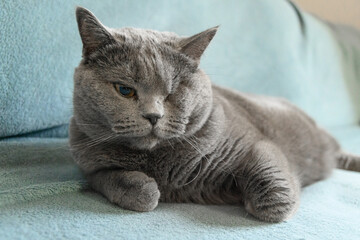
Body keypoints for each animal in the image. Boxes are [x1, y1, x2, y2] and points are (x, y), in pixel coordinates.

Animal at [69, 6, 358, 223]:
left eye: (173, 92)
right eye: (125, 90)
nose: (153, 116)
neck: (157, 161)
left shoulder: (255, 144)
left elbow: (272, 193)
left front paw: (253, 200)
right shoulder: (89, 165)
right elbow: (116, 183)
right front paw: (145, 188)